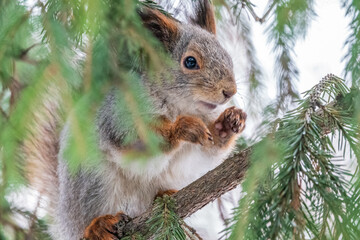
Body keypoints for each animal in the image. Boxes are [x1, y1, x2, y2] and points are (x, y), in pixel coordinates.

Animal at [23, 0, 248, 239]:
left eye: (227, 57)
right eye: (190, 62)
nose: (229, 91)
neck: (180, 106)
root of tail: (66, 222)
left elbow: (207, 152)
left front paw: (229, 123)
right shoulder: (119, 116)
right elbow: (138, 141)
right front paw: (183, 128)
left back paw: (164, 195)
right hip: (94, 181)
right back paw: (97, 225)